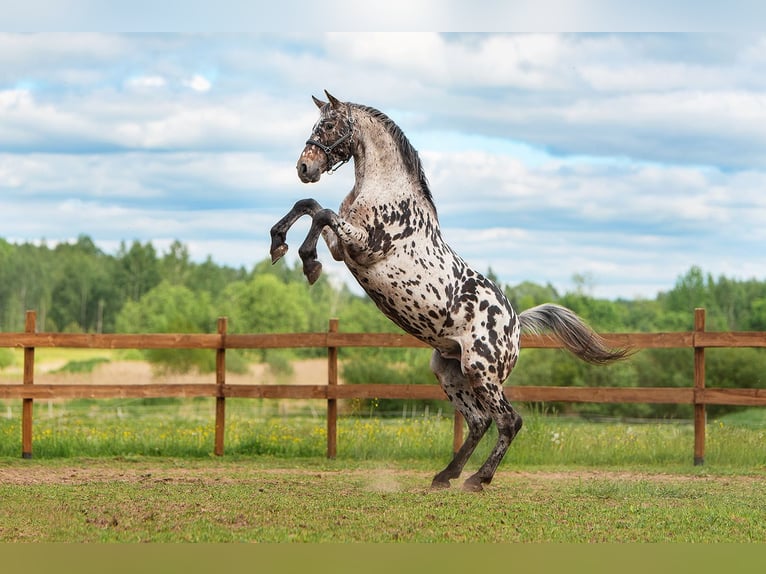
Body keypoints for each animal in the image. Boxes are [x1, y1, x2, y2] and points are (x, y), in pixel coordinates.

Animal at [270, 91, 631, 491]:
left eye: (330, 125)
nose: (305, 168)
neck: (384, 189)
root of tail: (515, 324)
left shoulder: (366, 246)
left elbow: (321, 214)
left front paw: (308, 262)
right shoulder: (343, 248)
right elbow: (310, 206)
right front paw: (278, 244)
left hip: (482, 371)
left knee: (508, 421)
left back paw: (477, 479)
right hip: (450, 372)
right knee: (479, 422)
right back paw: (446, 475)